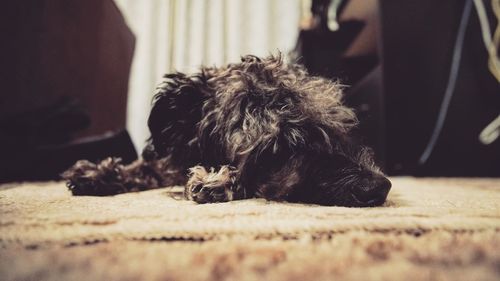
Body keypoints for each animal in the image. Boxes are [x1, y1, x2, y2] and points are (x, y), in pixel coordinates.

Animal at [62, 54, 390, 207]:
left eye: (338, 129)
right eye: (287, 143)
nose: (381, 186)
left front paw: (217, 181)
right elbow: (144, 166)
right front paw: (97, 173)